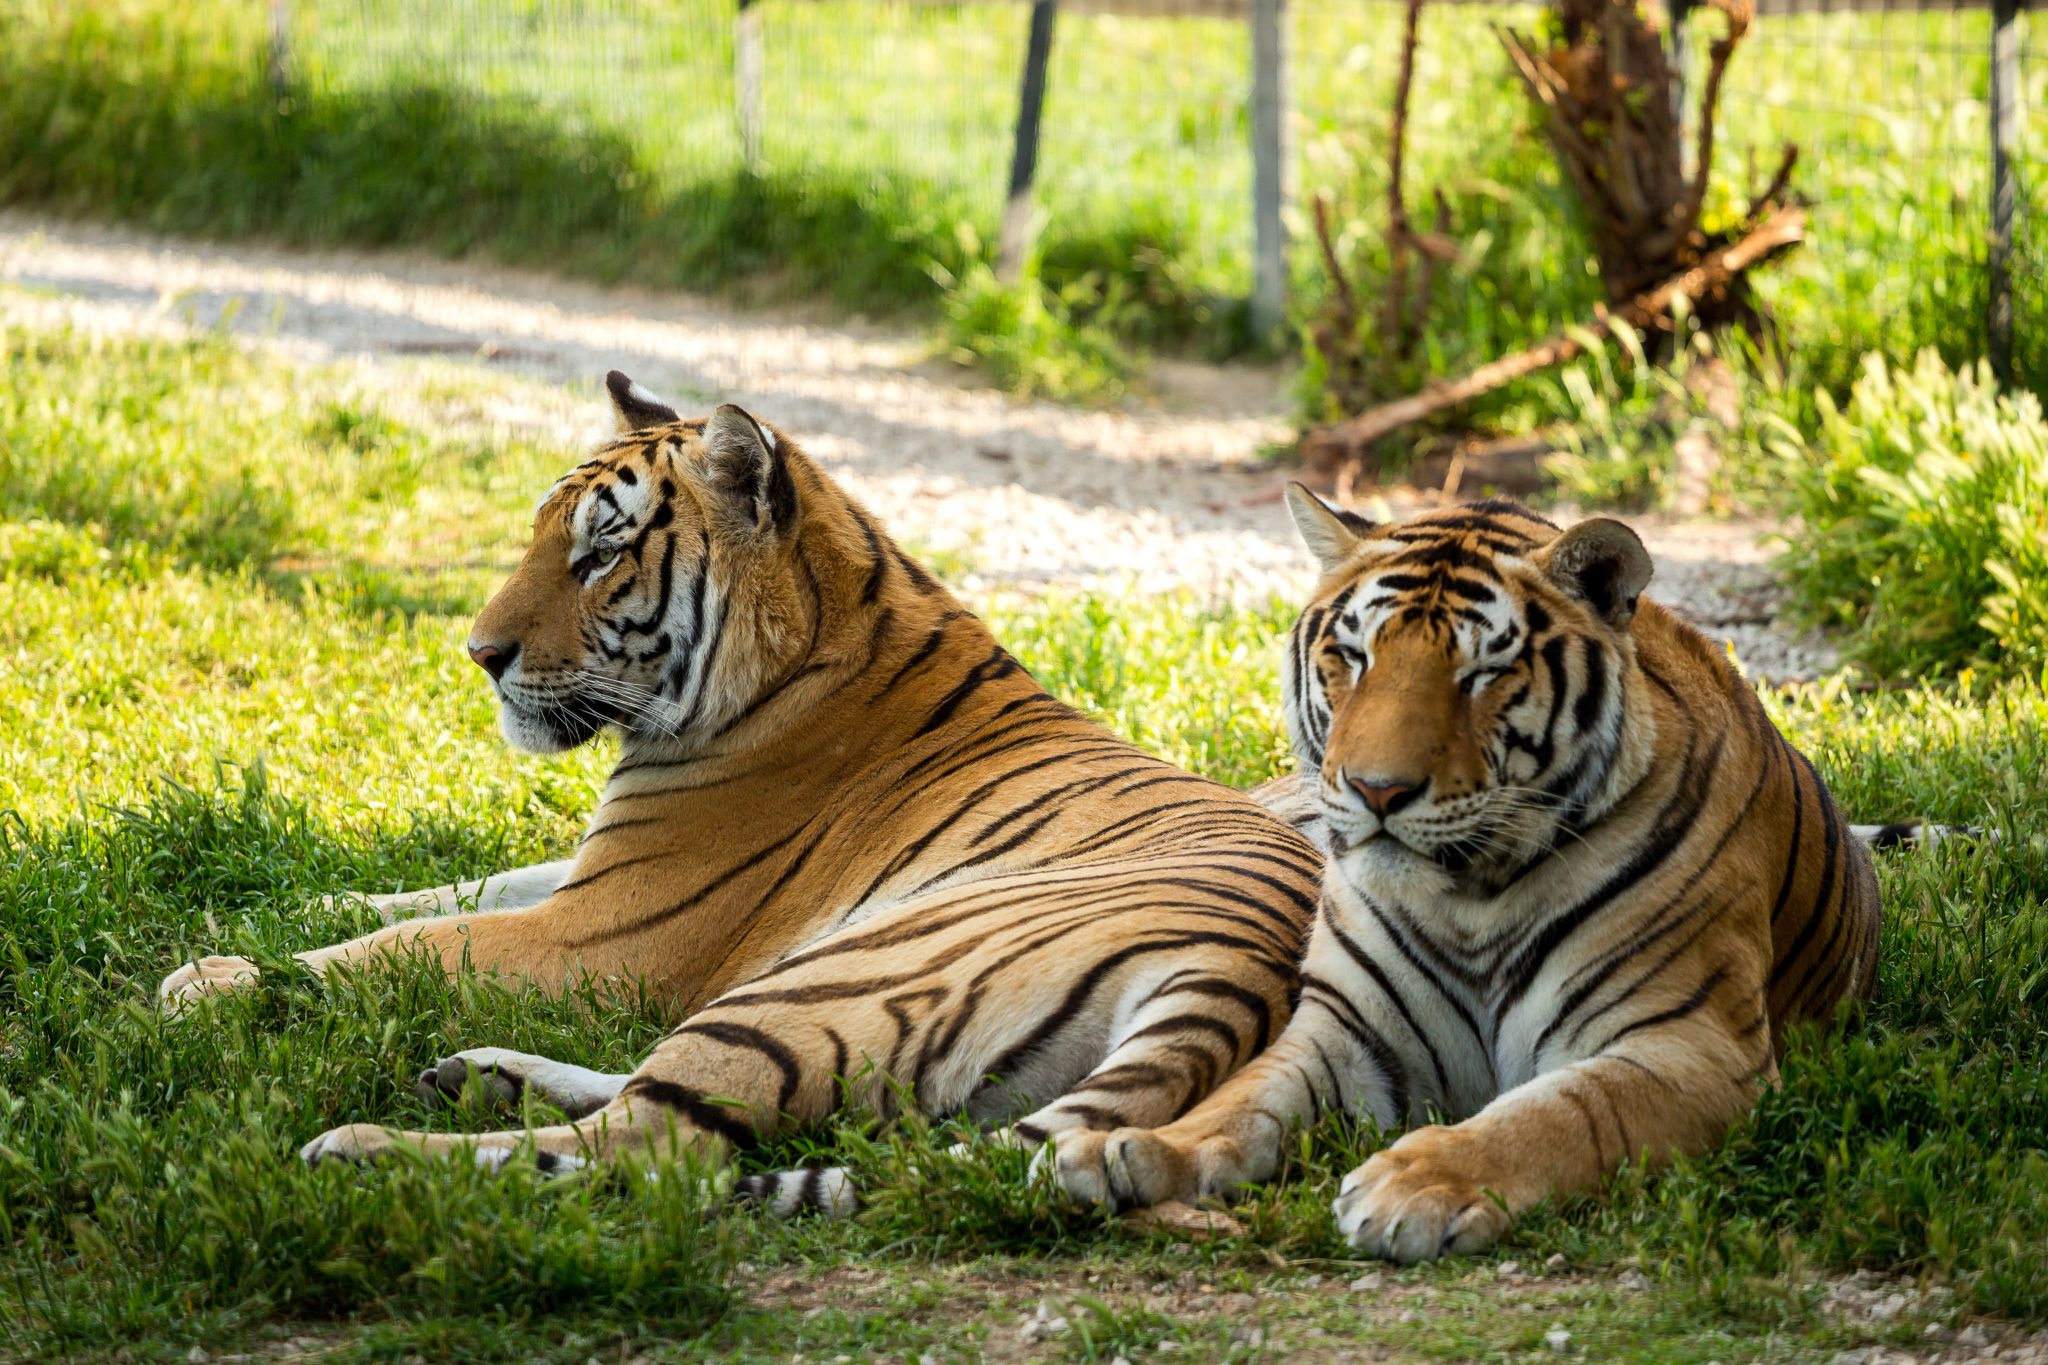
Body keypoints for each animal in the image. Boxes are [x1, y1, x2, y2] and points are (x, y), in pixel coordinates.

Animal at [157, 372, 1323, 1191]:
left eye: (600, 555)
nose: (479, 654)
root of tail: (1242, 975)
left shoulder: (610, 930)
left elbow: (411, 944)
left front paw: (211, 979)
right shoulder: (589, 872)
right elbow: (431, 892)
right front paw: (257, 911)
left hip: (837, 968)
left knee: (650, 1143)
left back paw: (368, 1149)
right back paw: (475, 1074)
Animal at [1049, 488, 1898, 1263]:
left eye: (1482, 671)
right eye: (1354, 656)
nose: (1377, 790)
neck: (1471, 897)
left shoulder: (1692, 1045)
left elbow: (1557, 1112)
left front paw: (1415, 1183)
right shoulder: (1351, 1030)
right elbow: (1244, 1098)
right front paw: (1129, 1147)